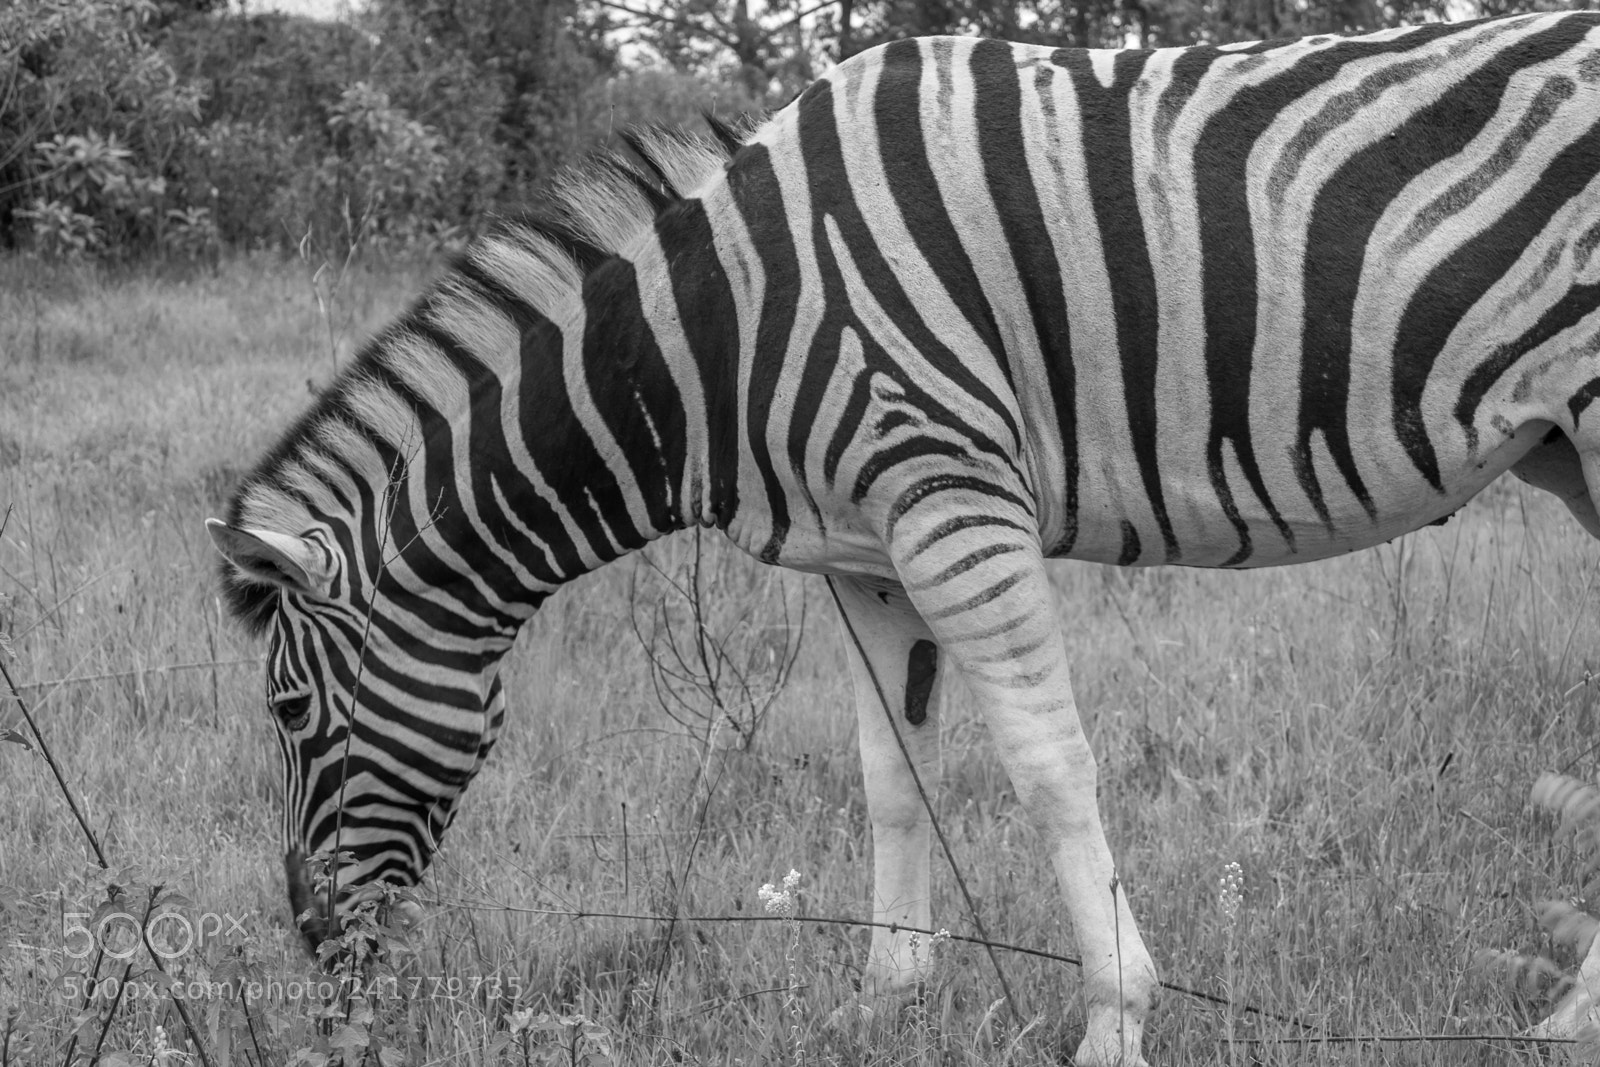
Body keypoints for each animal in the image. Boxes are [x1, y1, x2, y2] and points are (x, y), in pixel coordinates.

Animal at [208, 12, 1600, 1064]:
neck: (719, 329)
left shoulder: (950, 498)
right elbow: (892, 775)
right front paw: (884, 1003)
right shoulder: (870, 555)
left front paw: (1113, 1024)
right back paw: (1565, 1016)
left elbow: (1048, 764)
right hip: (1566, 446)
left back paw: (1567, 1020)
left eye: (286, 709)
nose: (313, 948)